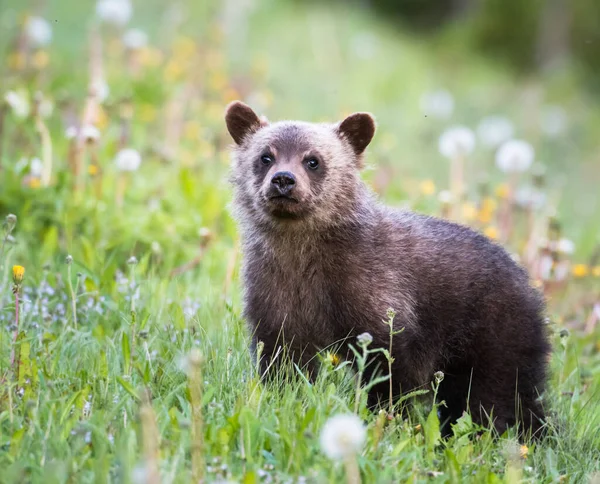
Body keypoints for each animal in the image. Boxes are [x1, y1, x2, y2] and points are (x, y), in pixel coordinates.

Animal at [224, 100, 548, 436]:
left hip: (493, 334)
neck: (304, 260)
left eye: (313, 160)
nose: (284, 179)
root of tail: (530, 285)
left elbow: (391, 369)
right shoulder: (274, 295)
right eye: (266, 155)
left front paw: (388, 417)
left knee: (497, 395)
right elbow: (282, 359)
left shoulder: (379, 295)